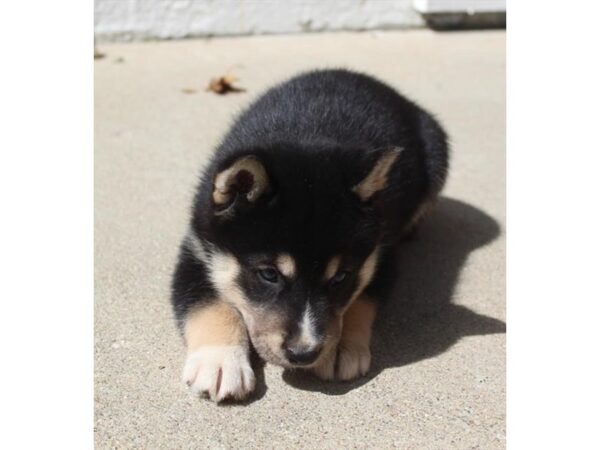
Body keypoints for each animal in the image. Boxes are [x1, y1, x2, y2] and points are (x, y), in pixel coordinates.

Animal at [169, 68, 446, 402]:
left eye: (341, 277)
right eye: (269, 274)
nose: (304, 354)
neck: (304, 133)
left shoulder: (382, 254)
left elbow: (360, 300)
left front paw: (340, 345)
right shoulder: (198, 249)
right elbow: (208, 303)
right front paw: (220, 361)